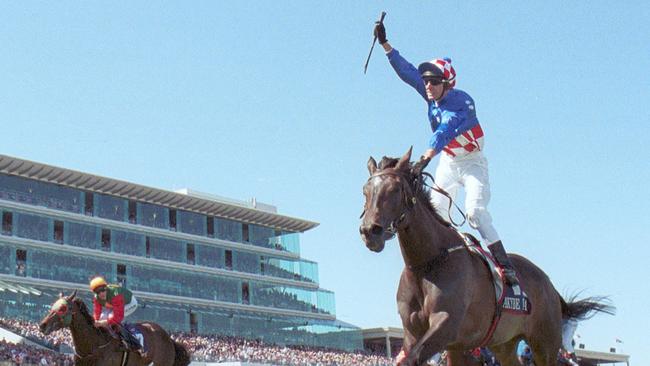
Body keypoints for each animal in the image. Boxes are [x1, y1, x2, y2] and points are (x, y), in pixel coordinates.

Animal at [360, 149, 612, 366]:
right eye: (365, 191)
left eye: (394, 189)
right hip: (504, 344)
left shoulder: (446, 325)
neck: (428, 263)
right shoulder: (419, 334)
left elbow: (412, 359)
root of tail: (550, 286)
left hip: (545, 344)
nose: (369, 231)